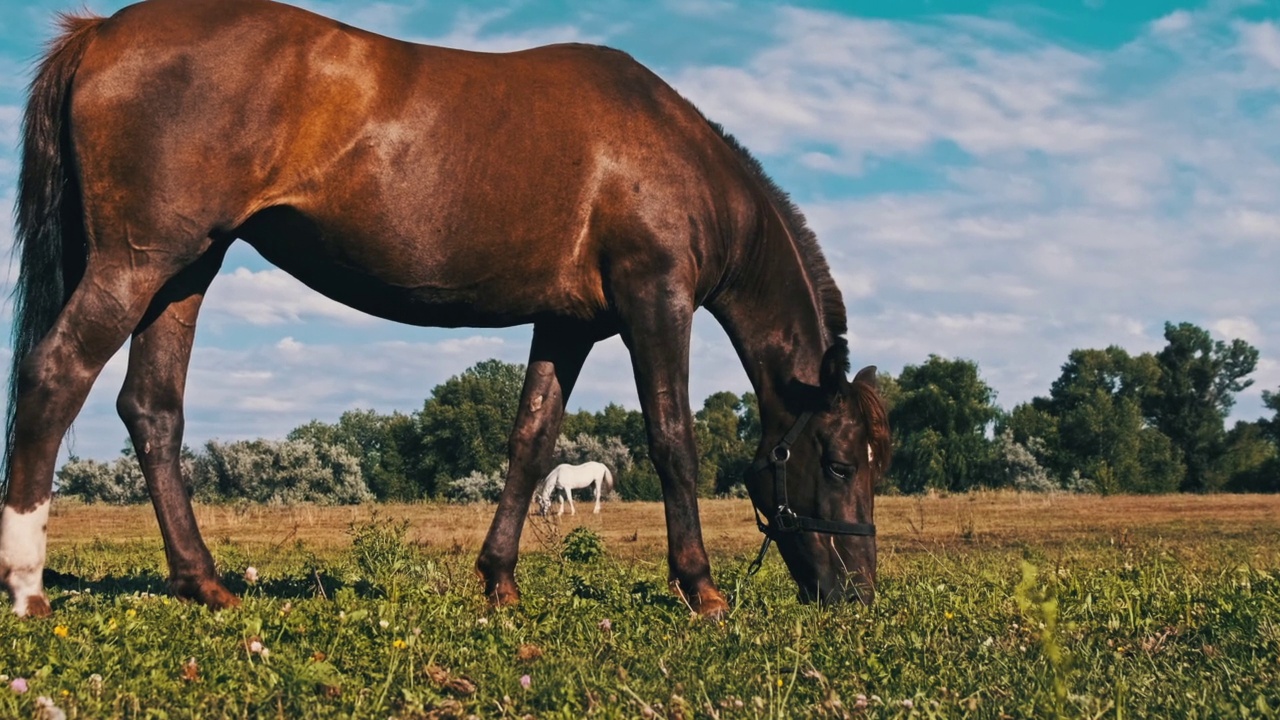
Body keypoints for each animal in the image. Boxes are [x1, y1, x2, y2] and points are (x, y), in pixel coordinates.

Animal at [0, 0, 890, 617]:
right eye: (839, 463)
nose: (858, 594)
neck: (672, 156)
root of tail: (102, 32)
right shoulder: (655, 303)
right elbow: (674, 440)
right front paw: (700, 588)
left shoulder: (568, 325)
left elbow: (531, 441)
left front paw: (499, 581)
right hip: (138, 263)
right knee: (55, 374)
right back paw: (27, 585)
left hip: (187, 270)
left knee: (152, 409)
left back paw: (204, 583)